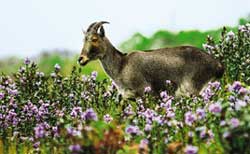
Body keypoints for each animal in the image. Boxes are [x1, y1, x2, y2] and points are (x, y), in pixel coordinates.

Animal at [78, 21, 225, 98]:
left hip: (195, 88)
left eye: (94, 39)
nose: (81, 59)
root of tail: (218, 65)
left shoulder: (144, 92)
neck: (121, 66)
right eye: (84, 39)